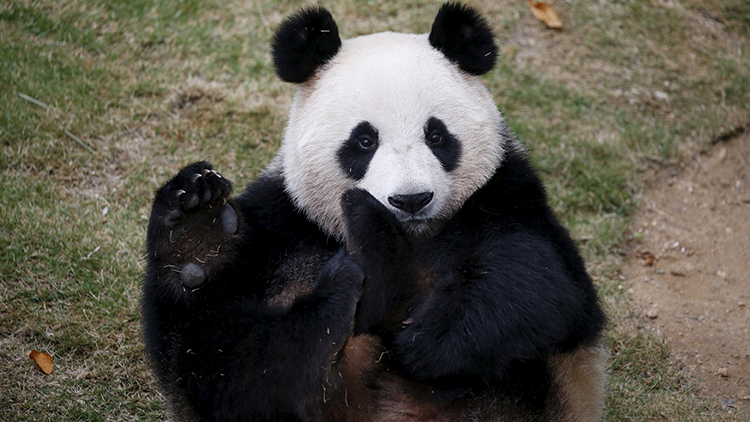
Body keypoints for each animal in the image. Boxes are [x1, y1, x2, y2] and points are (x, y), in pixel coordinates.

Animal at [142, 3, 607, 422]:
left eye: (436, 135)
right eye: (364, 141)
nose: (411, 200)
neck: (415, 236)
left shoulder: (507, 196)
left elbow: (535, 286)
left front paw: (424, 340)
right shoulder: (284, 223)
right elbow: (200, 339)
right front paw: (195, 232)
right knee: (227, 350)